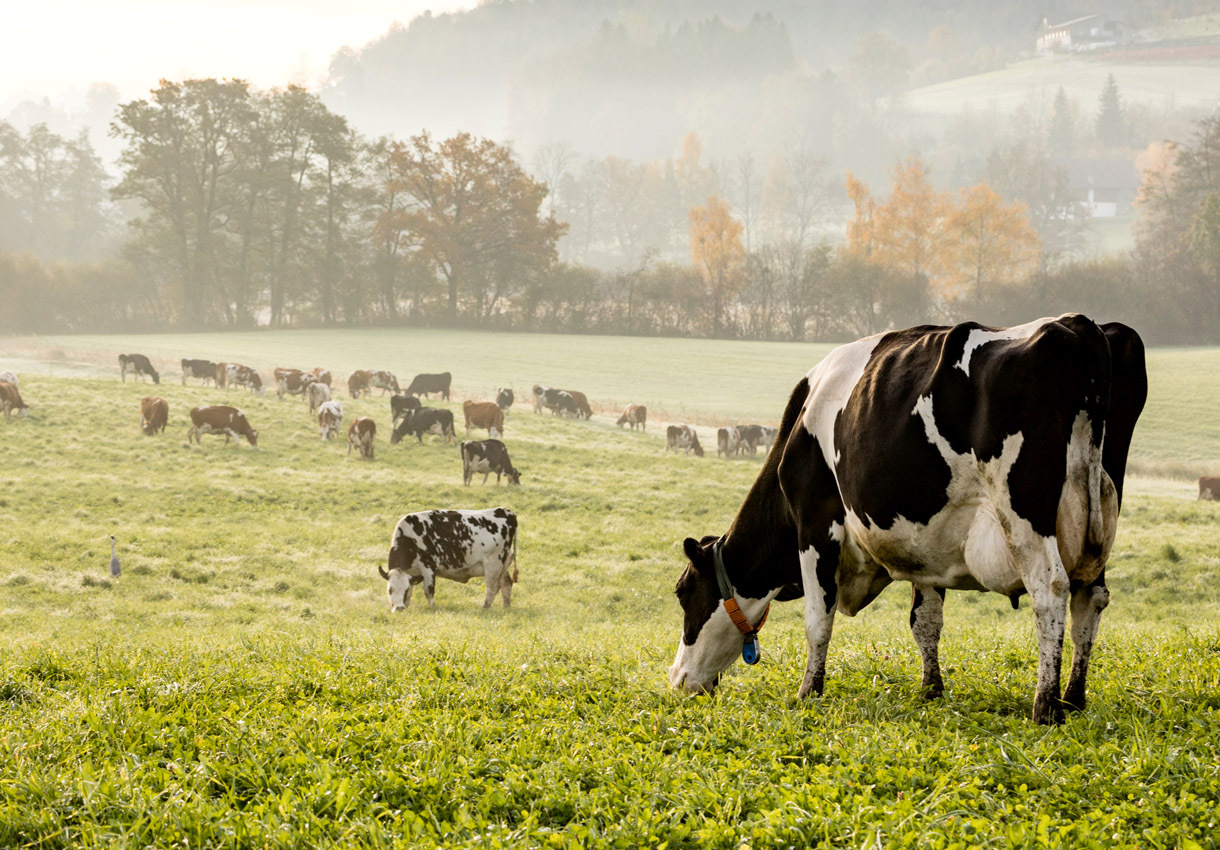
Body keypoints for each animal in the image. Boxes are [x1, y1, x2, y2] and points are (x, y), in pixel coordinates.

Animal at [378, 504, 517, 609]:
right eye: (389, 590)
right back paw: (506, 607)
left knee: (492, 587)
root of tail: (505, 511)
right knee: (506, 584)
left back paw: (485, 608)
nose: (399, 608)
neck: (409, 538)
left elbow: (429, 591)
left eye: (404, 589)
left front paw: (431, 609)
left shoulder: (428, 568)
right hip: (503, 564)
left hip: (493, 563)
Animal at [673, 314, 1146, 726]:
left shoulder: (815, 523)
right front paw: (930, 689)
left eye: (682, 594)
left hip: (1025, 512)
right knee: (1091, 597)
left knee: (1050, 590)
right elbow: (925, 621)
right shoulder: (928, 544)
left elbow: (817, 619)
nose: (677, 680)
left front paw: (808, 691)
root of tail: (1078, 324)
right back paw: (1074, 698)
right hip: (1099, 516)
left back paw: (1045, 706)